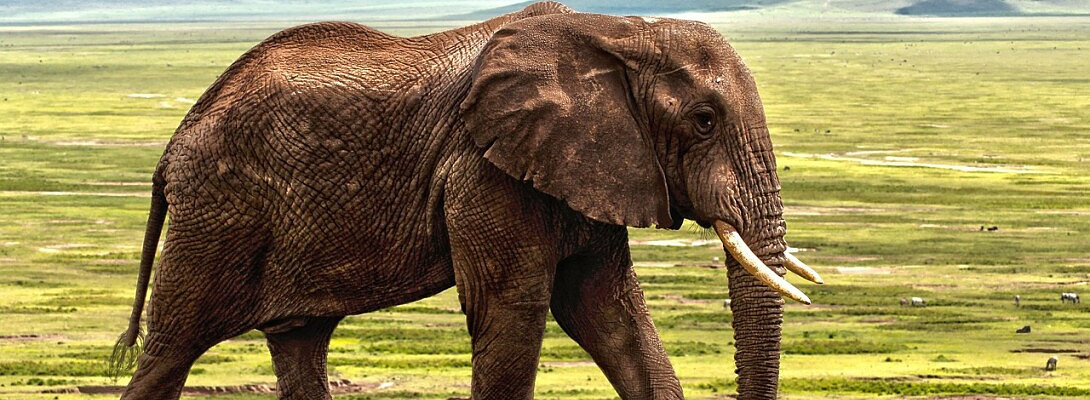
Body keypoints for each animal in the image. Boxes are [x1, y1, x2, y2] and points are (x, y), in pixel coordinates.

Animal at [110, 2, 823, 399]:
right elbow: (514, 316)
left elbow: (608, 313)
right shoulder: (485, 172)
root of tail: (176, 140)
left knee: (300, 342)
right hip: (218, 212)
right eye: (704, 121)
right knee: (169, 351)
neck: (615, 32)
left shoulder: (587, 166)